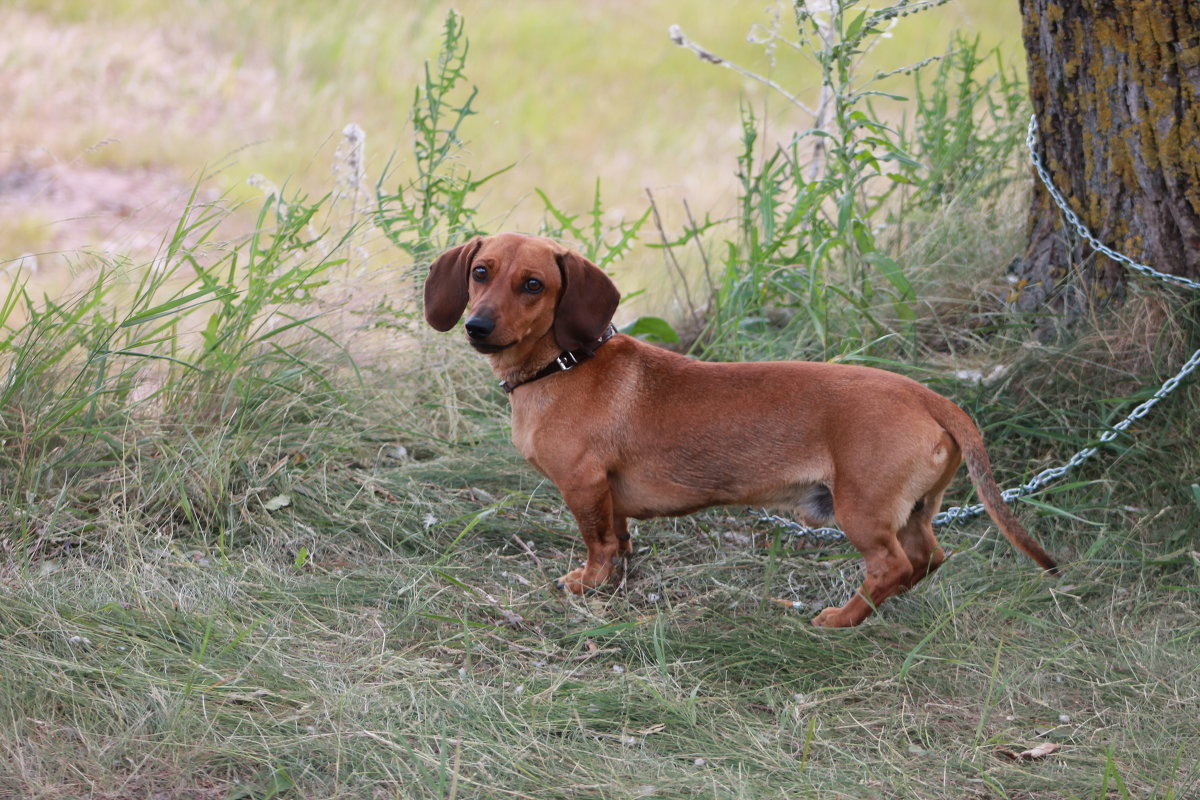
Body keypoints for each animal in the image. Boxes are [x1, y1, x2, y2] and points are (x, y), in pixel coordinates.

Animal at [424, 235, 1060, 628]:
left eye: (533, 284)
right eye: (480, 273)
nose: (477, 326)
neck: (565, 364)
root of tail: (928, 395)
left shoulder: (583, 487)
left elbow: (598, 544)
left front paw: (588, 585)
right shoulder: (609, 495)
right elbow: (621, 540)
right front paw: (617, 580)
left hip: (861, 510)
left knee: (892, 567)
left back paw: (841, 619)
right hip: (914, 510)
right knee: (928, 557)